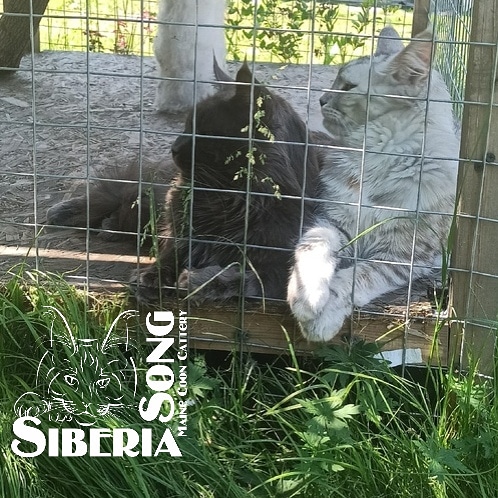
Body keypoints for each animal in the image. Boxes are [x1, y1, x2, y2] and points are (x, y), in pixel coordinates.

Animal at [134, 61, 325, 303]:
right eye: (187, 126)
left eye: (204, 133)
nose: (174, 148)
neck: (225, 200)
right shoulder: (179, 235)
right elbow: (170, 254)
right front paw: (151, 276)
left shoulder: (281, 271)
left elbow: (241, 278)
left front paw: (196, 282)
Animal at [287, 27, 460, 341]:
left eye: (347, 87)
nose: (321, 99)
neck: (374, 160)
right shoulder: (333, 221)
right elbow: (312, 247)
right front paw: (307, 296)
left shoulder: (402, 254)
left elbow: (357, 277)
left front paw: (321, 318)